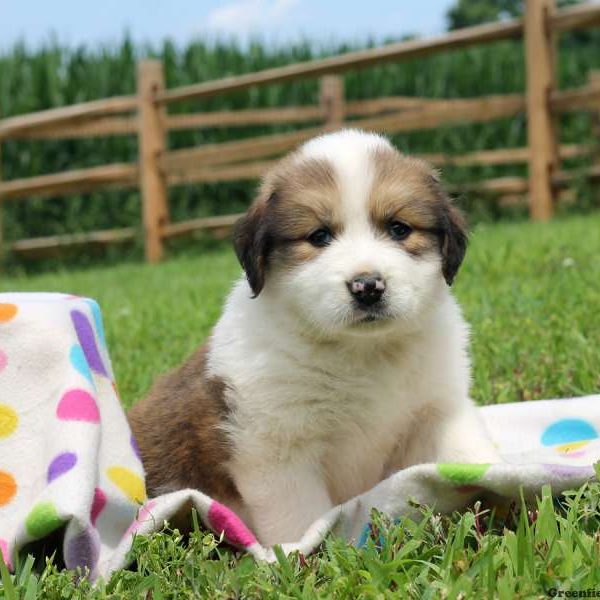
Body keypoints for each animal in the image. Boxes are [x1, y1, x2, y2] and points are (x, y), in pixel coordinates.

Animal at [129, 129, 500, 548]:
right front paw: (308, 554)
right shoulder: (277, 451)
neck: (365, 353)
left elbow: (467, 452)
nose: (367, 286)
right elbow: (302, 522)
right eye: (319, 236)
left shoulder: (439, 407)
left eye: (399, 229)